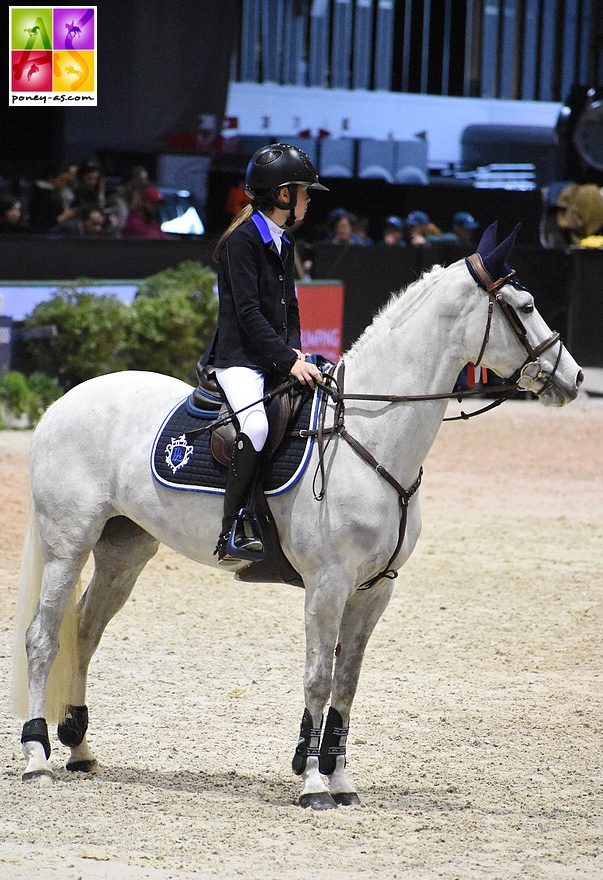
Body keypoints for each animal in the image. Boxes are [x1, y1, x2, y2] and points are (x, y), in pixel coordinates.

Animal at [11, 225, 584, 812]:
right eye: (525, 306)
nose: (574, 377)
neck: (369, 434)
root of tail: (61, 403)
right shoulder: (327, 585)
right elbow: (317, 678)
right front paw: (312, 784)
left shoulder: (376, 589)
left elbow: (346, 683)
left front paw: (341, 780)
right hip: (68, 546)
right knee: (43, 638)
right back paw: (37, 756)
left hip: (124, 553)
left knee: (84, 632)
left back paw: (80, 749)